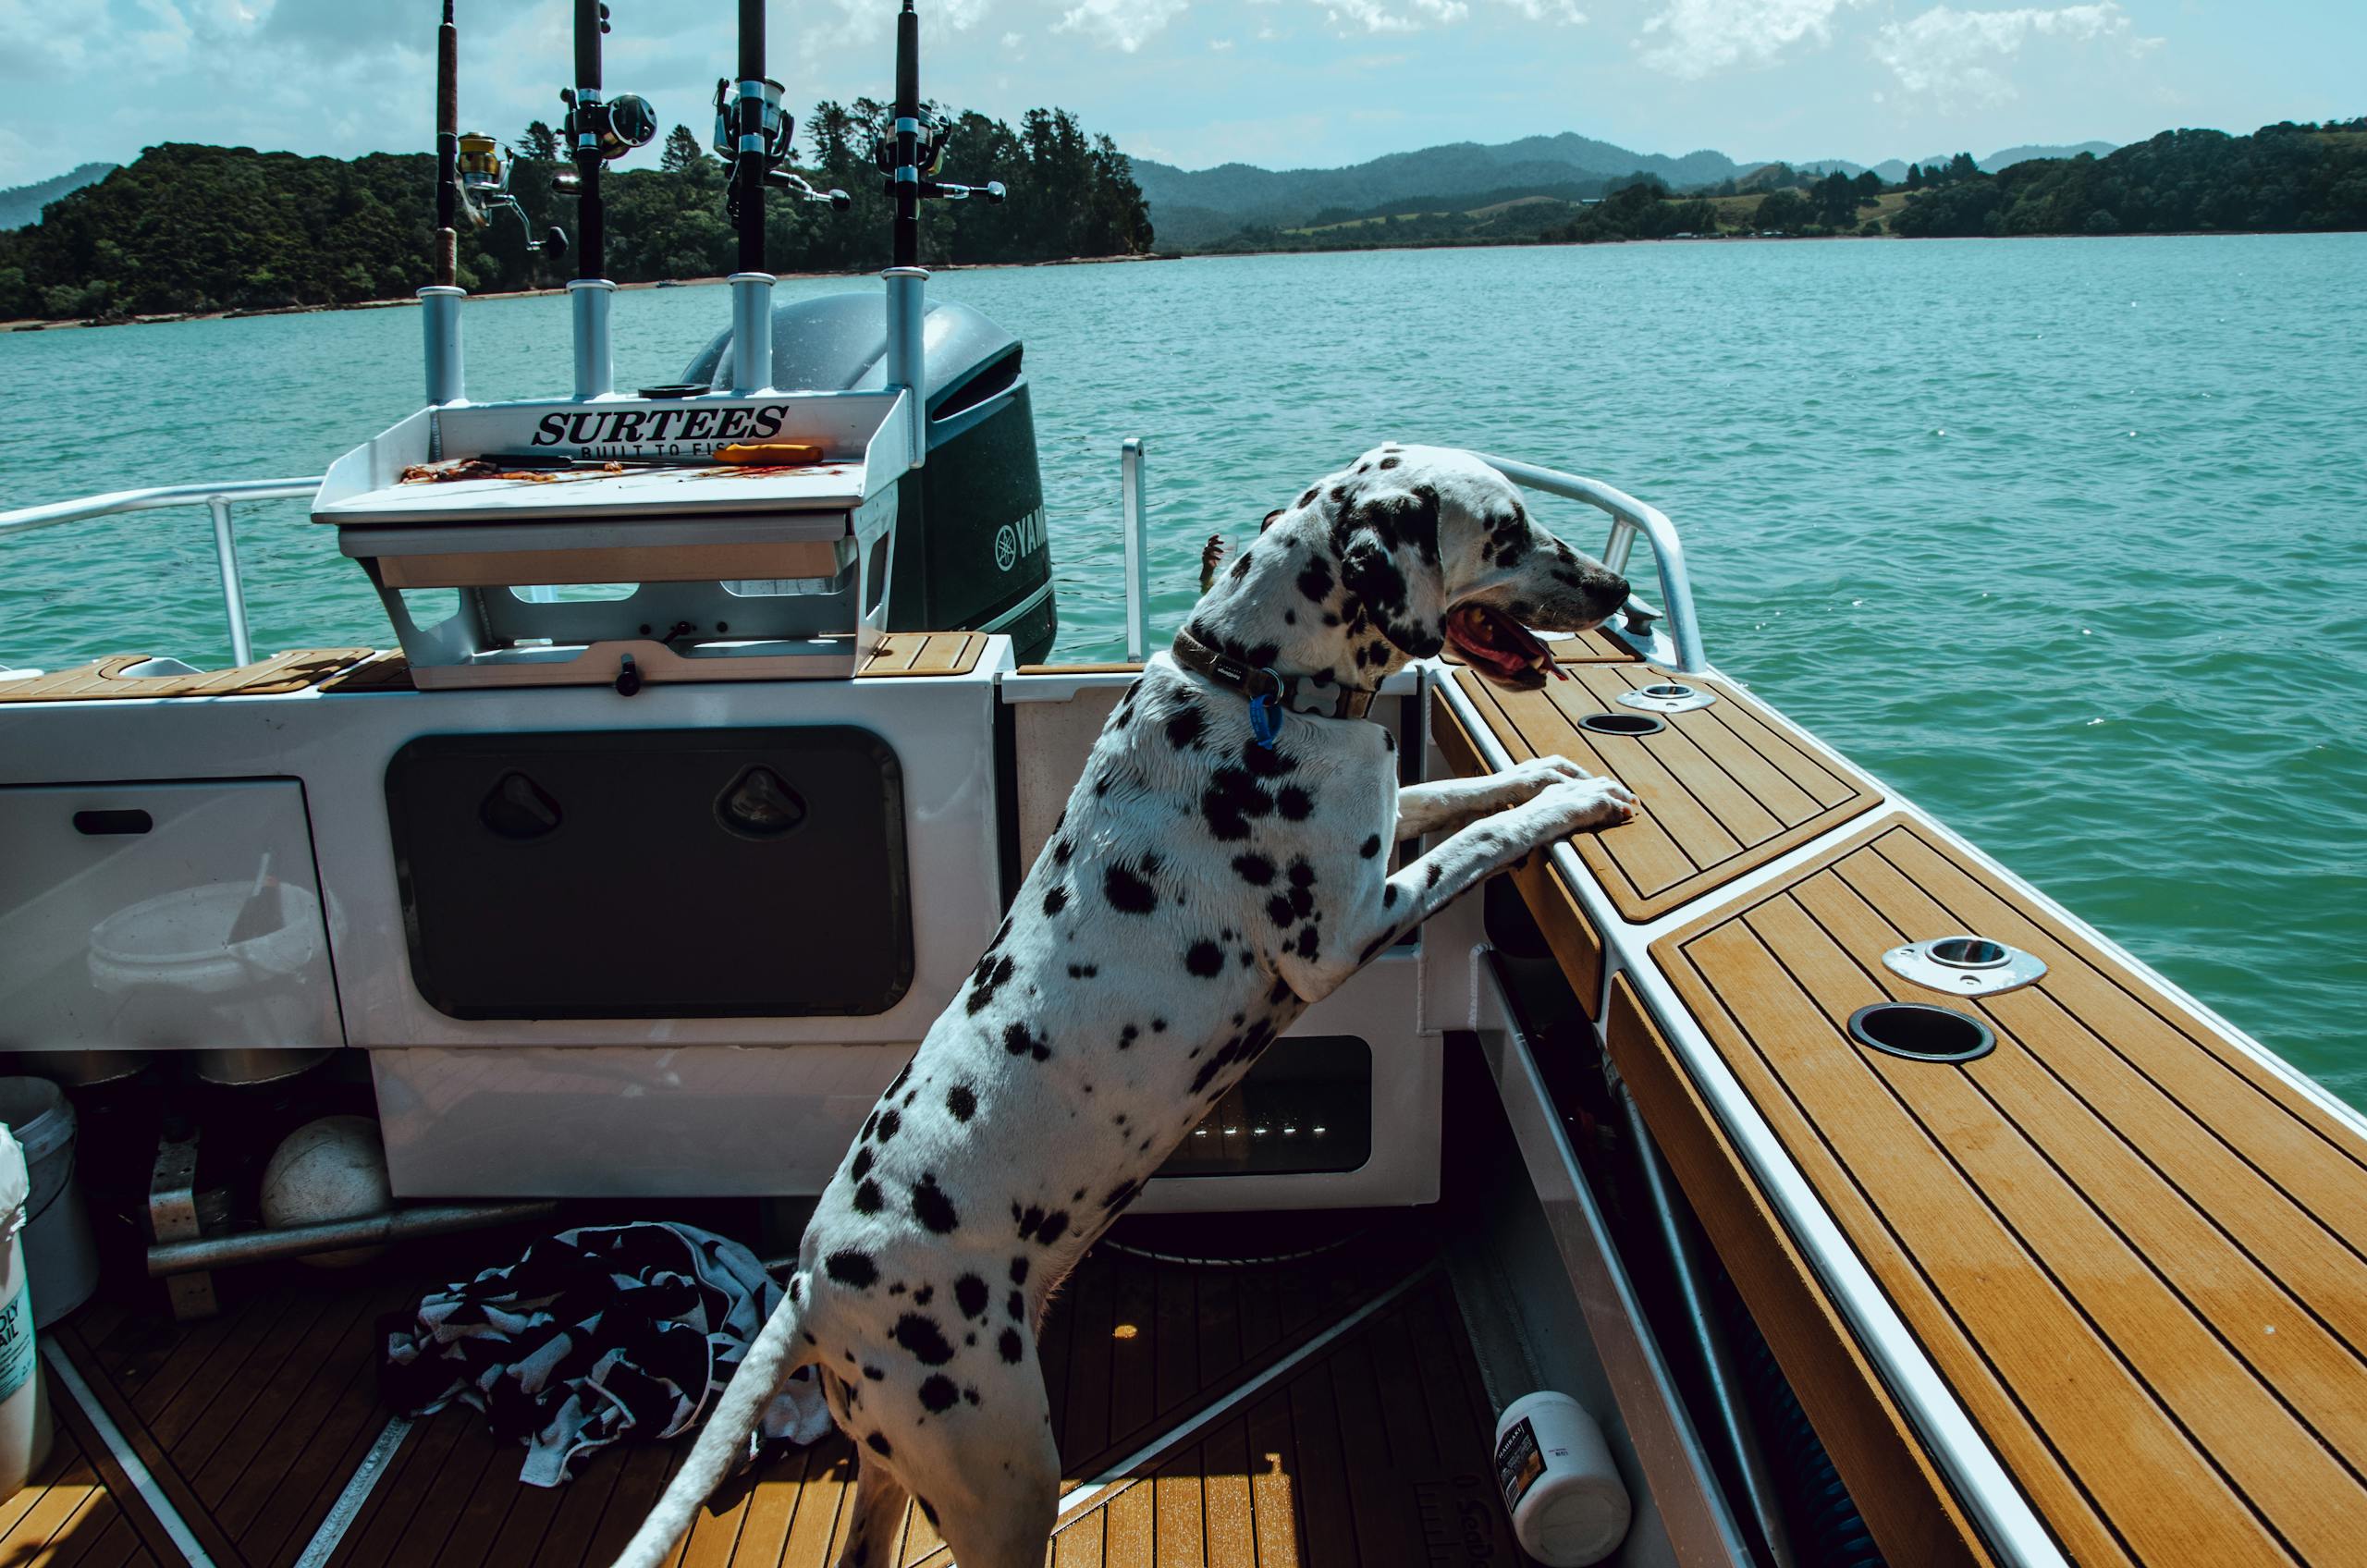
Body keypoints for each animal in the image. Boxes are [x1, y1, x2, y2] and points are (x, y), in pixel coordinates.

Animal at [610, 443, 1637, 1568]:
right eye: (1506, 531)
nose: (1617, 593)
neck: (1255, 684)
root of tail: (809, 1289)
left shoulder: (1379, 828)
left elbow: (1452, 799)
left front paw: (1542, 769)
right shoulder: (1347, 934)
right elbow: (1481, 839)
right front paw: (1574, 801)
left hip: (894, 1465)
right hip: (1002, 1478)